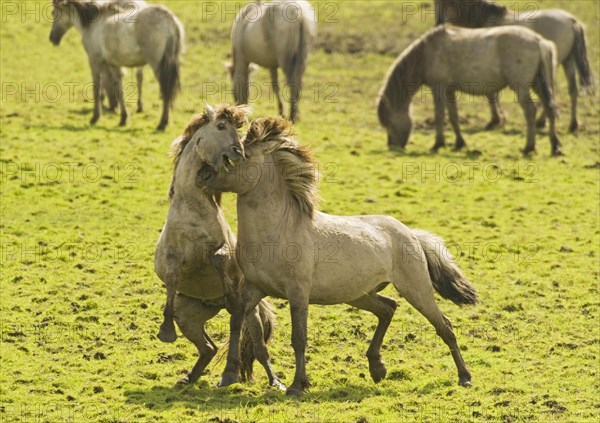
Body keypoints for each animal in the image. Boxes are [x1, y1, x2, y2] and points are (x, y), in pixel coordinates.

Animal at [49, 0, 183, 130]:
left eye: (53, 13)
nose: (52, 38)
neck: (93, 25)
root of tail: (168, 19)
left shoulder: (94, 62)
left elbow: (96, 89)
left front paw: (95, 118)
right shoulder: (113, 65)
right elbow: (119, 89)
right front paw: (123, 118)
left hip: (158, 66)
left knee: (166, 91)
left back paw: (162, 123)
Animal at [155, 105, 282, 388]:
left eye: (239, 130)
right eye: (221, 126)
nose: (239, 152)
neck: (192, 210)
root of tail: (214, 305)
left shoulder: (226, 253)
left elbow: (219, 258)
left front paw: (230, 292)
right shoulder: (170, 258)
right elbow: (171, 277)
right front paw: (165, 332)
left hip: (252, 316)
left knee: (259, 348)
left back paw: (274, 382)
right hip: (188, 316)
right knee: (208, 348)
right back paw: (188, 378)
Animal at [197, 117, 478, 398]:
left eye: (236, 154)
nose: (202, 176)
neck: (278, 230)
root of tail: (411, 234)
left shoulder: (298, 292)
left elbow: (299, 337)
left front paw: (297, 385)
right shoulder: (253, 288)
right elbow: (236, 322)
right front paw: (227, 376)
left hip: (415, 288)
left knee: (444, 325)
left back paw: (464, 377)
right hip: (359, 295)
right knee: (388, 308)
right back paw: (377, 368)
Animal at [376, 24, 564, 156]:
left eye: (389, 122)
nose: (392, 146)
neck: (426, 54)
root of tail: (539, 41)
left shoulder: (439, 89)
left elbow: (439, 116)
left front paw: (437, 144)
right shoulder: (449, 90)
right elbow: (453, 117)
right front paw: (459, 143)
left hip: (522, 88)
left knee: (530, 111)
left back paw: (528, 148)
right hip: (539, 84)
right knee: (549, 110)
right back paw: (554, 146)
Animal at [436, 0, 596, 132]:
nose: (438, 24)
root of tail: (571, 21)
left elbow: (491, 94)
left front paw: (495, 120)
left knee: (553, 89)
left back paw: (542, 121)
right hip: (568, 61)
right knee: (572, 91)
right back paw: (572, 124)